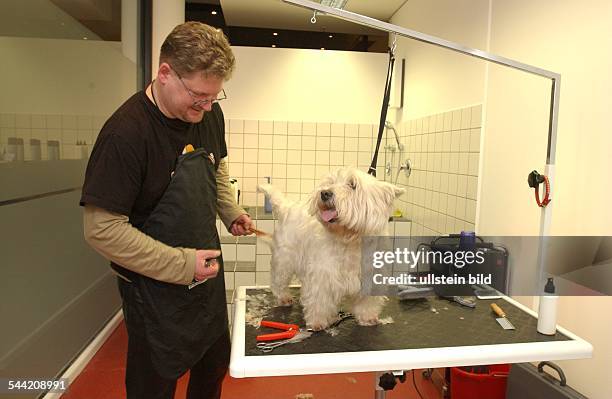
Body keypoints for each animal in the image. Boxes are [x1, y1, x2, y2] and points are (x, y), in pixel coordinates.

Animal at [258, 166, 406, 332]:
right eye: (331, 182)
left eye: (353, 185)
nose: (324, 193)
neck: (351, 240)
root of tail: (286, 208)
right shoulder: (322, 274)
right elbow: (319, 299)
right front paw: (318, 322)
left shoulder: (370, 275)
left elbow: (366, 301)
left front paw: (367, 317)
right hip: (284, 259)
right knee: (278, 280)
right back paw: (284, 298)